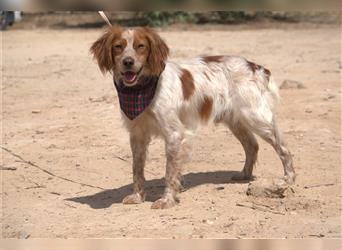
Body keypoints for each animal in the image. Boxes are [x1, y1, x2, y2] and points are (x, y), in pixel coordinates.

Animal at [91, 25, 296, 209]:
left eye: (141, 46)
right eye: (118, 46)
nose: (128, 62)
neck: (144, 89)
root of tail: (255, 66)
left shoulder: (174, 135)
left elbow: (170, 172)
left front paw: (167, 200)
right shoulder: (137, 135)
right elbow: (137, 169)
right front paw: (138, 196)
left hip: (256, 117)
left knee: (284, 148)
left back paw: (288, 179)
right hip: (235, 120)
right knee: (252, 146)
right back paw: (244, 174)